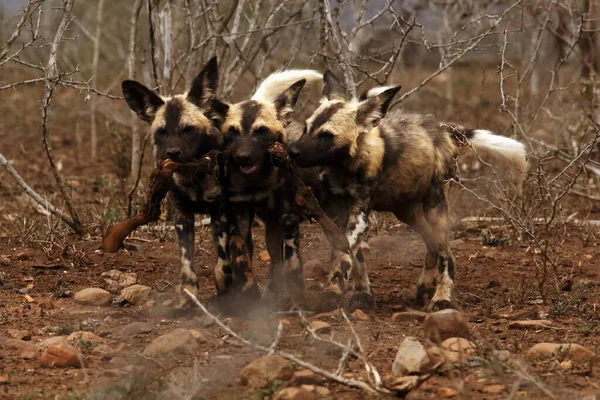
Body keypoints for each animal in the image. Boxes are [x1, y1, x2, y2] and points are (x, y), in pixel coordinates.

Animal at [121, 57, 260, 306]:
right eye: (161, 132)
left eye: (188, 130)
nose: (172, 153)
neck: (193, 175)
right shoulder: (182, 215)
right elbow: (187, 265)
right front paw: (188, 298)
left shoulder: (220, 213)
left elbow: (223, 263)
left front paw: (224, 290)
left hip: (241, 216)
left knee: (244, 249)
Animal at [216, 69, 324, 306]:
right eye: (233, 132)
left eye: (261, 131)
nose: (242, 157)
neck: (257, 182)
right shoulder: (241, 216)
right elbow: (241, 256)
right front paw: (247, 292)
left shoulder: (288, 216)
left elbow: (292, 263)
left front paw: (296, 298)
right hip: (270, 227)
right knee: (274, 260)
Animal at [288, 71, 528, 310]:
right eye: (306, 128)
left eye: (326, 135)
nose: (292, 151)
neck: (343, 167)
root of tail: (442, 129)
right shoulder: (335, 214)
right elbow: (350, 257)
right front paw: (360, 293)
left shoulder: (359, 218)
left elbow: (344, 257)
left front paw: (333, 293)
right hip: (406, 211)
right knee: (433, 248)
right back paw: (424, 290)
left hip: (435, 208)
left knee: (445, 255)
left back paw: (441, 297)